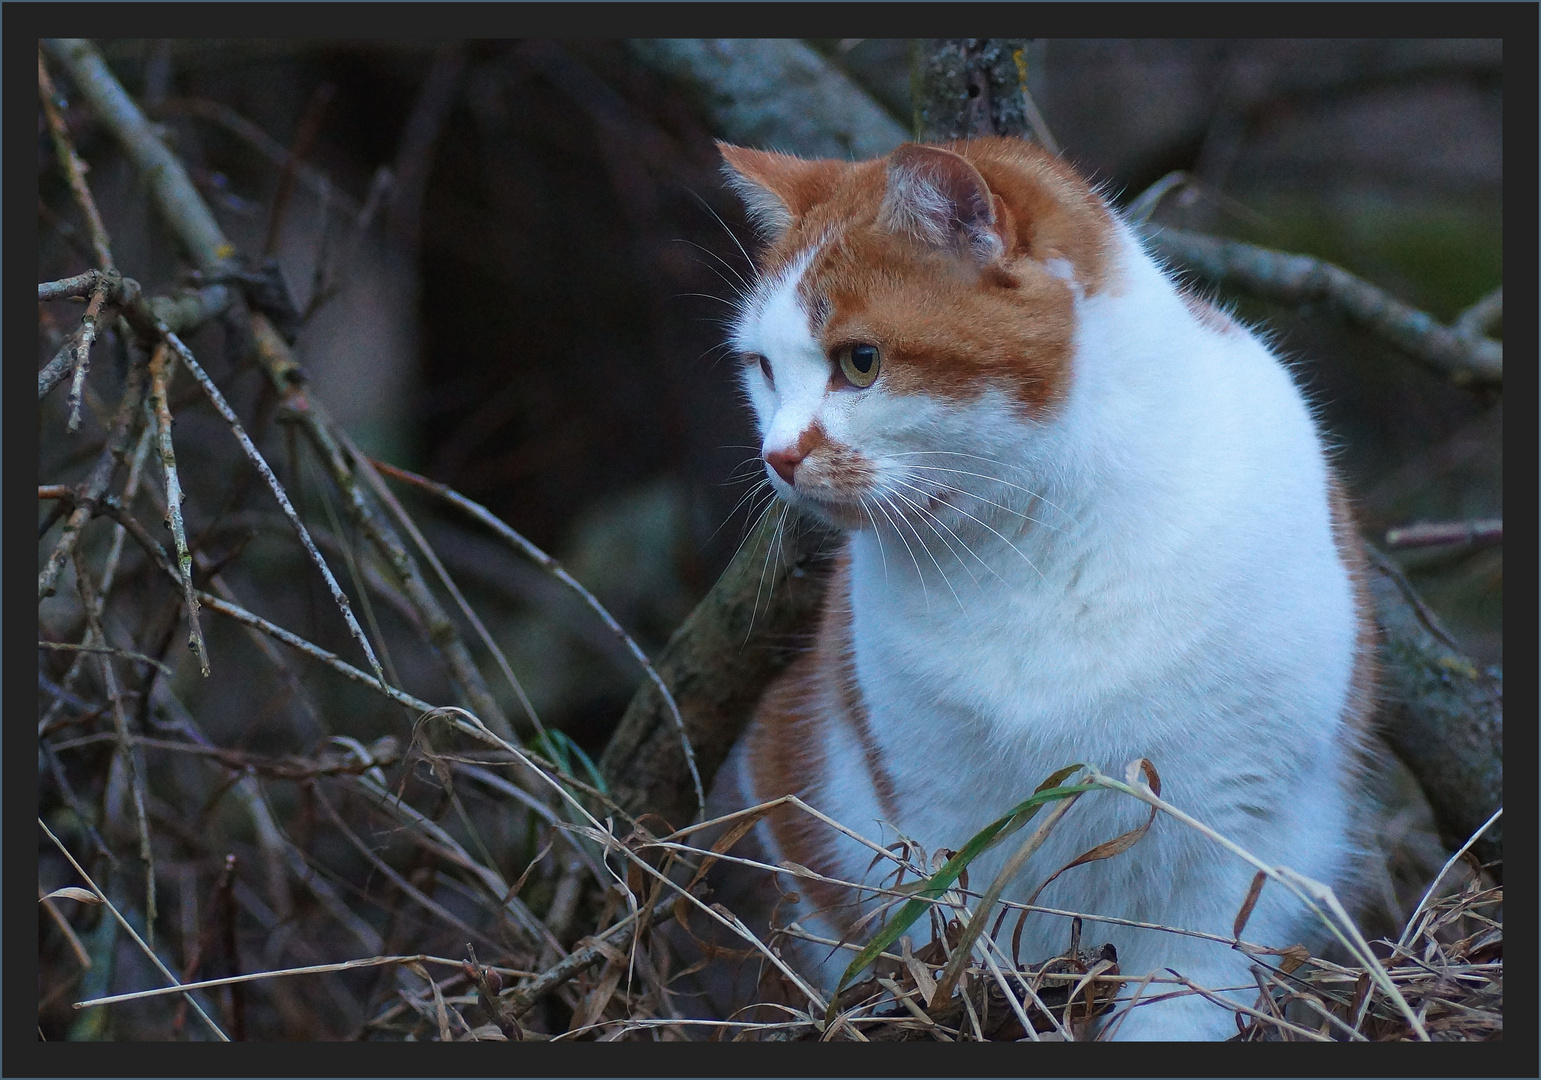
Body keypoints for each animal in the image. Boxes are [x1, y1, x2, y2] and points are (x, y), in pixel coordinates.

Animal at [696, 134, 1374, 1035]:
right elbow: (964, 943)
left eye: (860, 363)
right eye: (763, 368)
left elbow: (1183, 990)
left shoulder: (1234, 833)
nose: (776, 454)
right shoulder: (939, 809)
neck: (1030, 544)